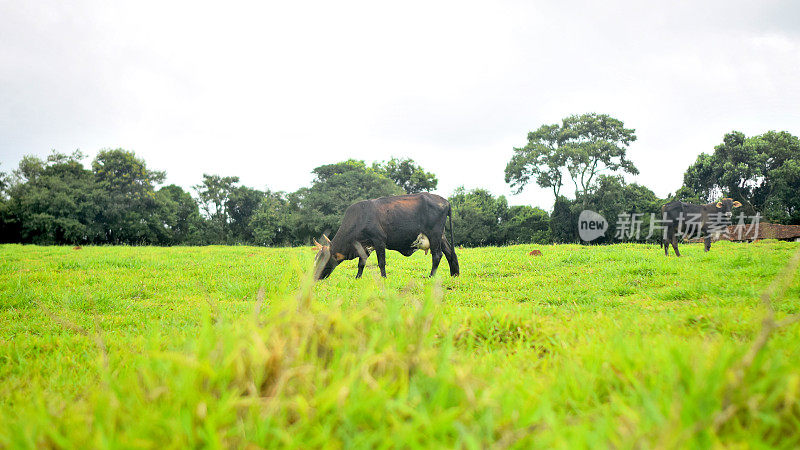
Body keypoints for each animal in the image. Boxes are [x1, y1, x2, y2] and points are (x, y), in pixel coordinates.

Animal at [314, 192, 462, 280]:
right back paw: (454, 275)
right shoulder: (365, 246)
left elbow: (381, 262)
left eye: (323, 259)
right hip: (440, 236)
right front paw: (358, 277)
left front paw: (383, 277)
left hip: (434, 235)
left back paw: (431, 276)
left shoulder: (379, 240)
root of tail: (445, 201)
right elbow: (361, 263)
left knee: (437, 255)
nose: (315, 276)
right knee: (450, 253)